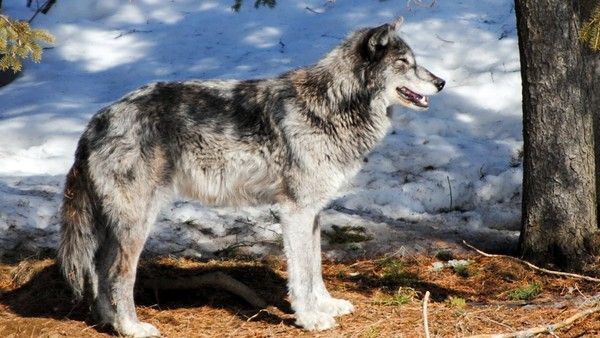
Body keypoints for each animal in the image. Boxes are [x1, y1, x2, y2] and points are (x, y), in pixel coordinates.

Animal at [58, 19, 446, 338]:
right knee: (117, 275)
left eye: (414, 61)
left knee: (100, 270)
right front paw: (310, 319)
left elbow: (316, 268)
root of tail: (96, 121)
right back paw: (132, 328)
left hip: (118, 225)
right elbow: (301, 274)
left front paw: (327, 306)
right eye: (404, 64)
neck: (331, 104)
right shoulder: (294, 212)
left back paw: (109, 323)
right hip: (138, 224)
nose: (441, 82)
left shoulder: (313, 213)